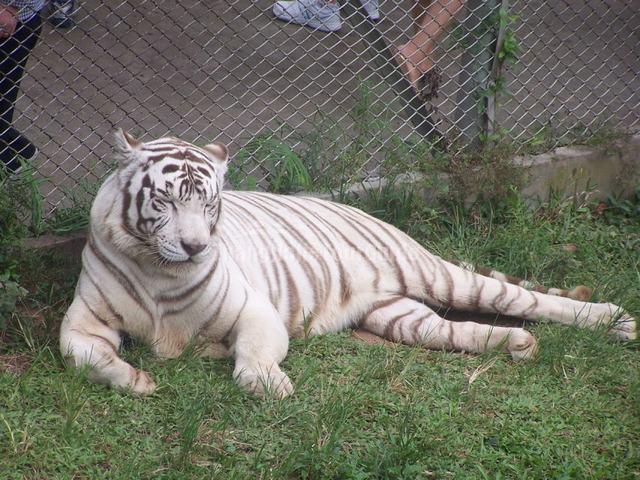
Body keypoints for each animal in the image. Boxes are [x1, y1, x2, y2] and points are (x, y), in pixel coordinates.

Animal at [58, 131, 636, 398]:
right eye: (167, 201)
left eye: (209, 203)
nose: (197, 247)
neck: (159, 268)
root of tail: (365, 211)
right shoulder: (83, 322)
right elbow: (82, 356)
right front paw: (135, 379)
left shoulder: (255, 312)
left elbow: (253, 359)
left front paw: (271, 385)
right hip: (397, 314)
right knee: (456, 330)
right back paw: (517, 345)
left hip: (441, 277)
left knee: (525, 299)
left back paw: (615, 320)